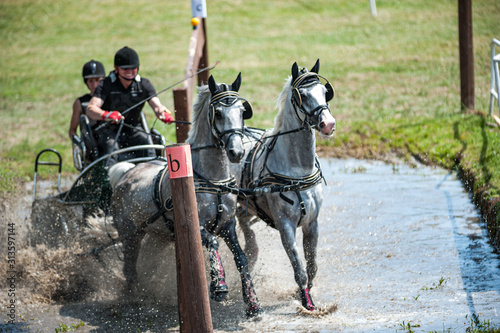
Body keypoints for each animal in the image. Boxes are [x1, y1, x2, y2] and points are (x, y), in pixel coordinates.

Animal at [107, 74, 260, 316]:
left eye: (242, 111)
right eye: (218, 113)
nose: (236, 152)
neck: (212, 181)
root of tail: (126, 173)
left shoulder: (228, 225)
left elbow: (241, 258)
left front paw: (252, 302)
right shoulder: (198, 226)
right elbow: (213, 243)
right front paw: (219, 286)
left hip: (158, 237)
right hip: (130, 235)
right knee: (129, 268)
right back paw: (134, 298)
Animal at [231, 60, 336, 312]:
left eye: (324, 92)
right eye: (302, 95)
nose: (328, 124)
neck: (297, 170)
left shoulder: (312, 223)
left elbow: (312, 265)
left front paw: (305, 293)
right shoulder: (285, 226)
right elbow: (299, 267)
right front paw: (307, 303)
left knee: (245, 225)